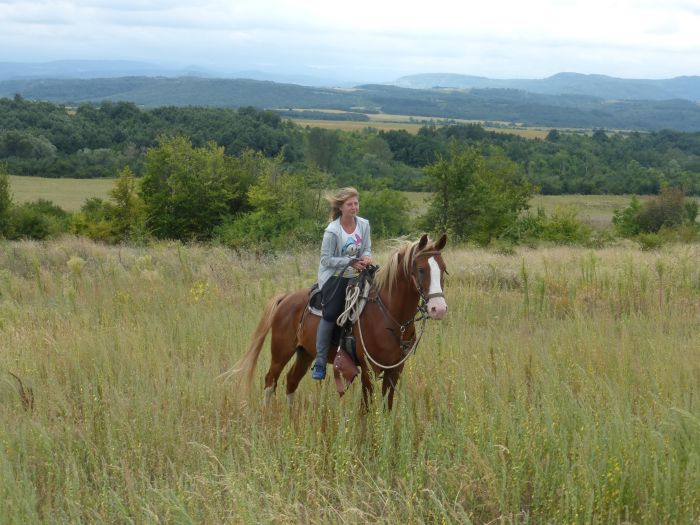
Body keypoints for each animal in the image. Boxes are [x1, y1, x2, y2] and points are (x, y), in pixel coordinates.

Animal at [231, 233, 448, 410]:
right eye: (421, 269)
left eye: (443, 269)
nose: (439, 308)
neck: (390, 316)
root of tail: (285, 298)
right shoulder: (368, 370)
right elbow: (366, 408)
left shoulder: (395, 369)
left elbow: (387, 405)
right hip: (281, 352)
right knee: (270, 381)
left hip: (305, 353)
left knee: (291, 381)